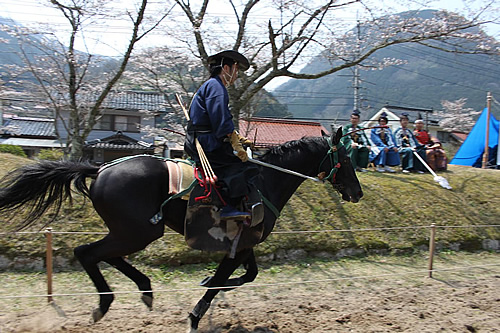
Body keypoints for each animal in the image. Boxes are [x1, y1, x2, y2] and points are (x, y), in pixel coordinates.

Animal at [0, 126, 362, 330]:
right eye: (346, 159)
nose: (357, 193)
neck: (264, 181)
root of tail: (100, 168)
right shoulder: (238, 244)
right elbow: (223, 281)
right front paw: (195, 315)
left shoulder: (245, 243)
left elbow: (247, 275)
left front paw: (206, 284)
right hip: (139, 231)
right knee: (87, 252)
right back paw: (105, 304)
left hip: (130, 231)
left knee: (105, 255)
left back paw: (144, 289)